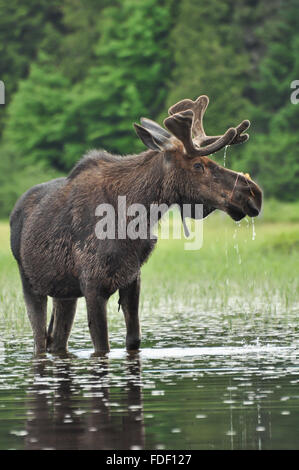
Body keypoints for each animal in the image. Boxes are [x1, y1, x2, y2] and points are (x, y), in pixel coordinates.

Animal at [8, 93, 262, 354]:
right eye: (198, 165)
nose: (252, 192)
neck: (135, 216)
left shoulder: (132, 280)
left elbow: (134, 340)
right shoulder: (93, 285)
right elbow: (102, 346)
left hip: (64, 292)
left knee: (57, 342)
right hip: (31, 284)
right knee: (40, 341)